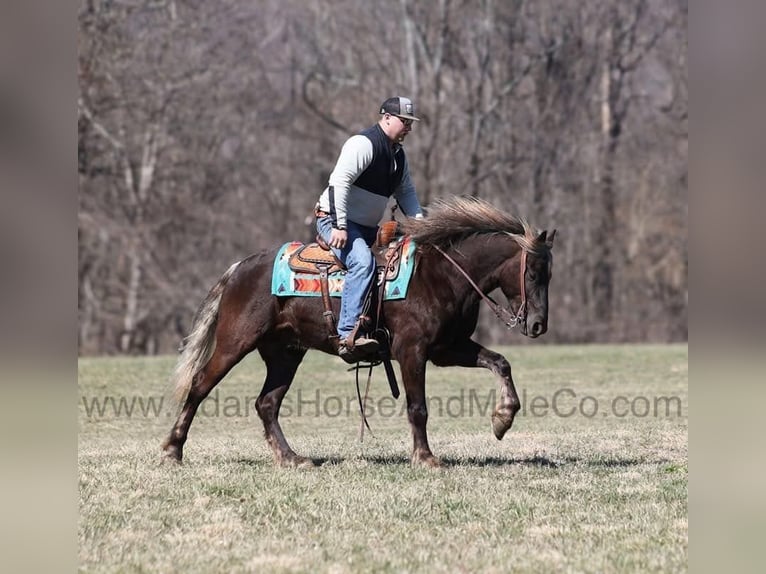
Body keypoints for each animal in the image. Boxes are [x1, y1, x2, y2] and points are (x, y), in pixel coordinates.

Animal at [162, 196, 555, 468]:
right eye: (534, 272)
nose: (538, 325)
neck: (440, 274)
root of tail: (240, 267)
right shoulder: (412, 350)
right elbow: (418, 406)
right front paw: (426, 458)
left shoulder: (447, 348)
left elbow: (500, 362)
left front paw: (503, 418)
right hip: (234, 342)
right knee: (200, 385)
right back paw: (173, 449)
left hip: (285, 352)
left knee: (267, 403)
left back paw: (291, 458)